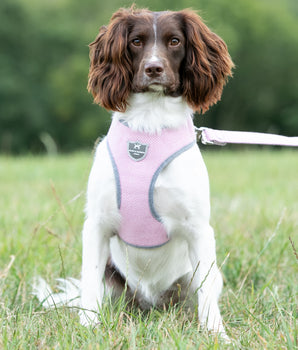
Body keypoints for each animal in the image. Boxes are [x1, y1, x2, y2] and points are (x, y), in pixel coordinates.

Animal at [33, 6, 234, 340]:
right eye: (136, 41)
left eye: (175, 41)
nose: (153, 68)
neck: (149, 128)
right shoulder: (97, 224)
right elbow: (90, 282)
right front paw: (89, 326)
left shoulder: (198, 228)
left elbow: (206, 290)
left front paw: (217, 334)